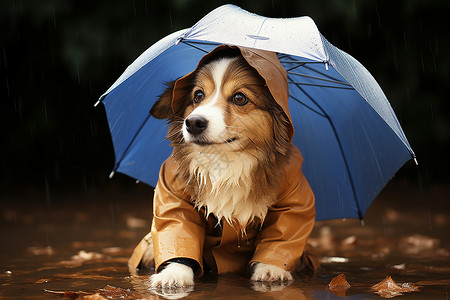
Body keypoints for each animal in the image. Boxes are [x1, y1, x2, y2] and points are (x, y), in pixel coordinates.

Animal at [128, 45, 314, 290]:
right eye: (198, 95)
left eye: (239, 98)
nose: (193, 122)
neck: (225, 160)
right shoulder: (173, 193)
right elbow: (178, 228)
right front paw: (174, 274)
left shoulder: (293, 195)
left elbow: (285, 231)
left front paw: (271, 269)